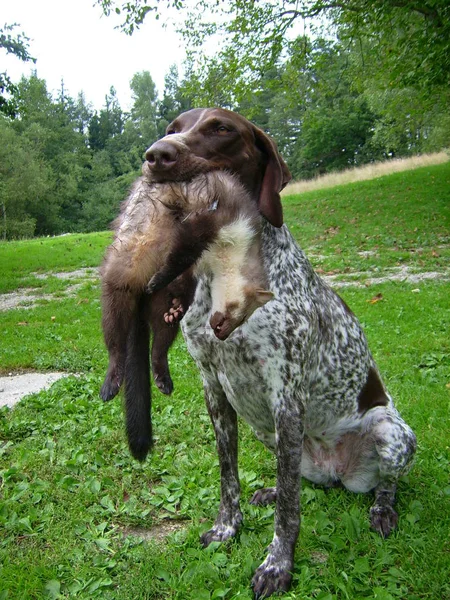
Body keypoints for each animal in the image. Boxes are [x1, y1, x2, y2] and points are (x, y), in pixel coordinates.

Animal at [138, 110, 418, 596]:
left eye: (221, 128)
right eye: (174, 126)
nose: (157, 154)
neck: (225, 271)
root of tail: (339, 471)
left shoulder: (285, 395)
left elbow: (289, 508)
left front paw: (277, 564)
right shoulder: (215, 390)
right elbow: (229, 477)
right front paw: (228, 528)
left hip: (390, 432)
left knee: (383, 483)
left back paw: (382, 510)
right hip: (267, 431)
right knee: (304, 482)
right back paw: (272, 489)